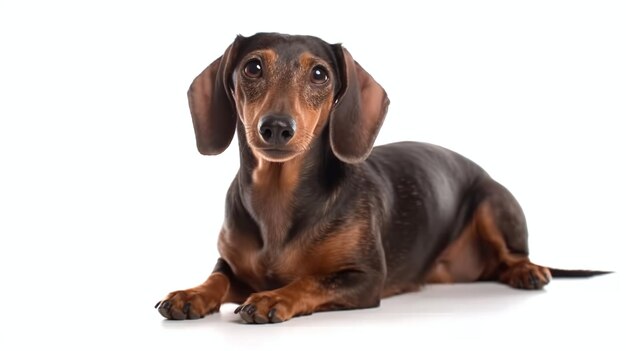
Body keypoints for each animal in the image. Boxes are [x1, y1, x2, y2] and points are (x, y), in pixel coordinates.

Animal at [155, 33, 604, 324]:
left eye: (320, 74)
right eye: (253, 67)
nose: (276, 127)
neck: (278, 199)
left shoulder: (365, 279)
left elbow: (309, 282)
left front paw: (272, 298)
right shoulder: (230, 265)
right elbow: (216, 277)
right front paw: (191, 294)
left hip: (494, 202)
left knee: (513, 255)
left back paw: (527, 271)